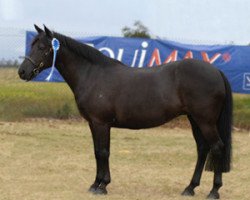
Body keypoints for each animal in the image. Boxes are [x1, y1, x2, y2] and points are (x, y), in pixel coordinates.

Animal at [18, 25, 232, 198]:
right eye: (32, 45)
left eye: (42, 47)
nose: (22, 72)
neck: (93, 75)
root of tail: (216, 71)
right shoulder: (94, 123)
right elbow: (98, 152)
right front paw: (96, 184)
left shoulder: (101, 123)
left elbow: (103, 152)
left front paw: (102, 186)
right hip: (194, 119)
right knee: (202, 149)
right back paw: (190, 188)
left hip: (205, 121)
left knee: (217, 148)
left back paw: (214, 191)